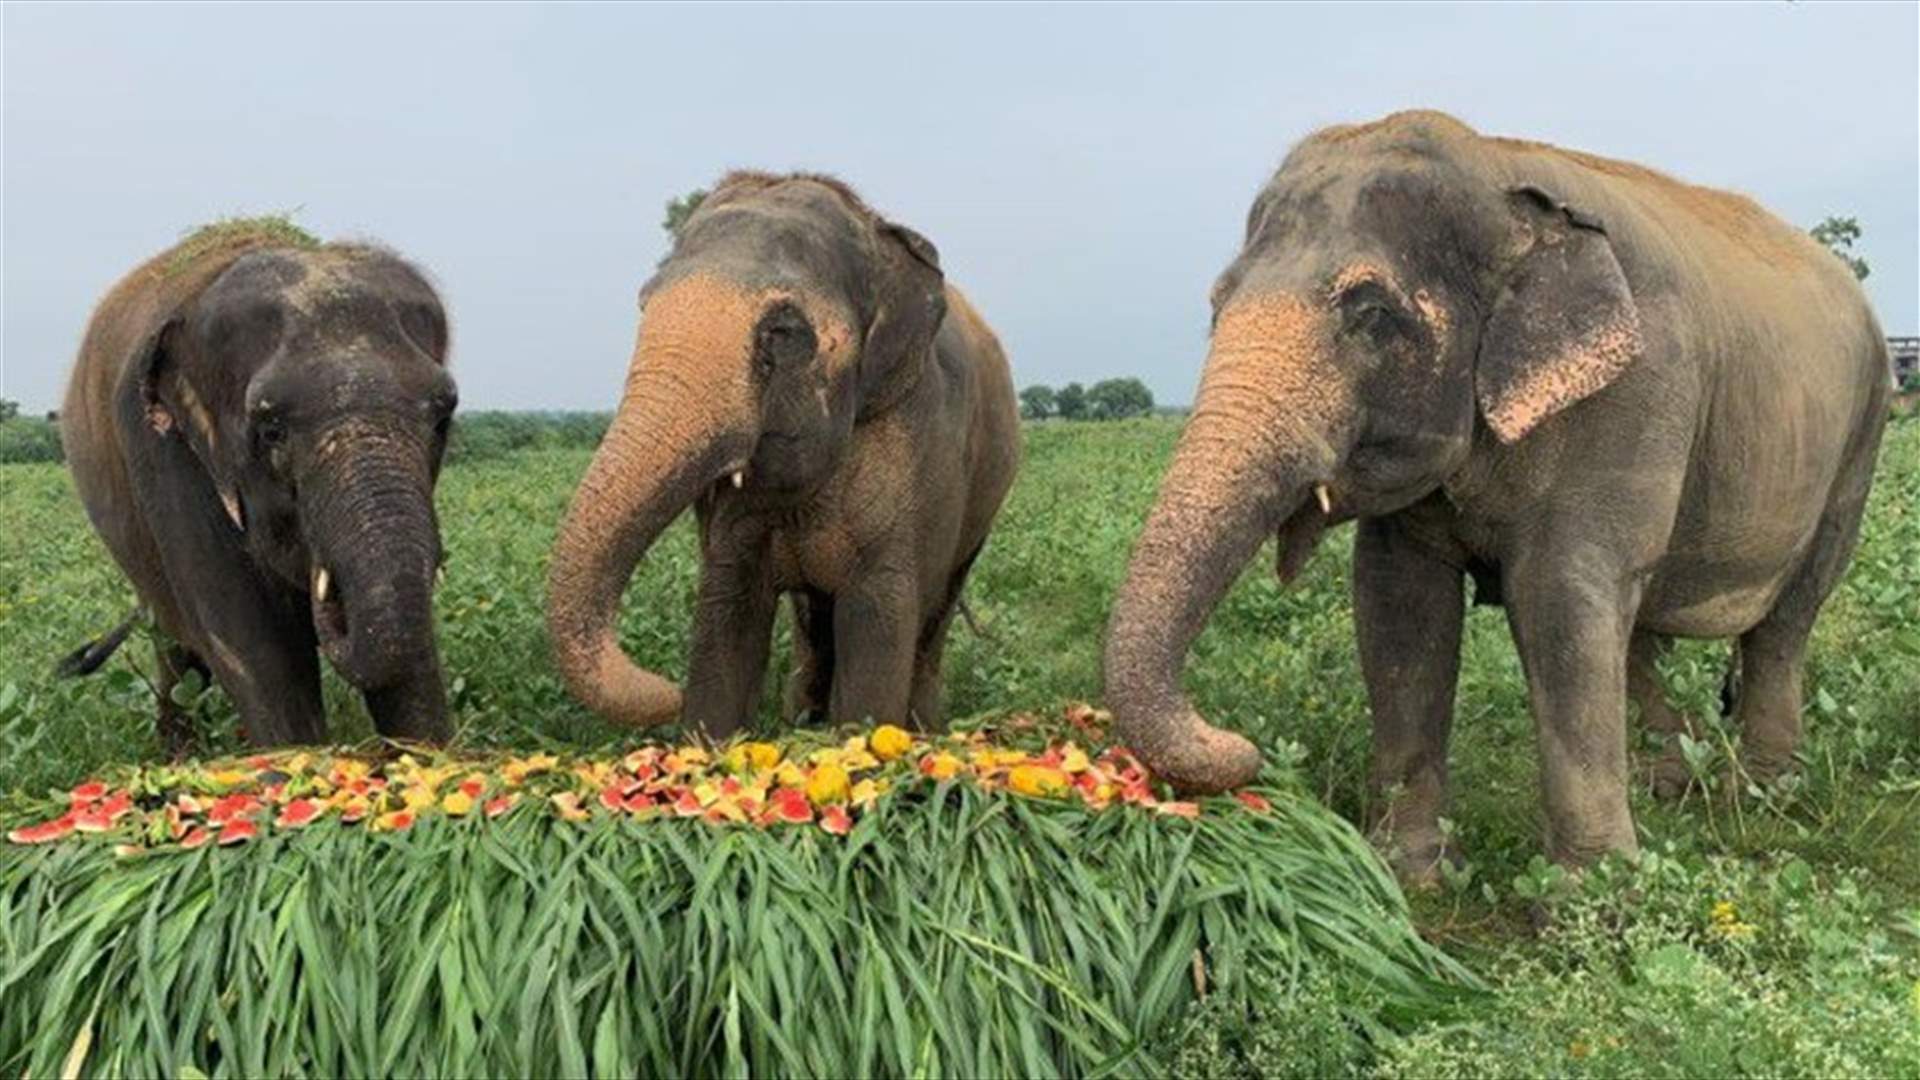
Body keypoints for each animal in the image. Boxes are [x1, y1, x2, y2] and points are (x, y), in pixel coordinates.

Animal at [61, 222, 458, 753]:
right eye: (271, 430)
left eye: (442, 417)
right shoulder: (165, 449)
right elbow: (254, 651)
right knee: (173, 638)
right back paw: (181, 755)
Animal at [546, 172, 1020, 738]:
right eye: (642, 307)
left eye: (781, 331)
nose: (665, 690)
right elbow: (728, 606)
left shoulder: (920, 441)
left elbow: (879, 614)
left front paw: (865, 738)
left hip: (979, 510)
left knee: (933, 615)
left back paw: (923, 730)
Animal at [1103, 111, 1890, 876]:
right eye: (1216, 307)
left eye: (1369, 312)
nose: (1243, 748)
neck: (1497, 171)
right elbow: (1398, 604)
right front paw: (1413, 871)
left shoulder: (1635, 394)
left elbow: (1560, 598)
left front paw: (1587, 897)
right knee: (1643, 627)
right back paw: (1665, 784)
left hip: (1862, 433)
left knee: (1786, 619)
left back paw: (1760, 792)